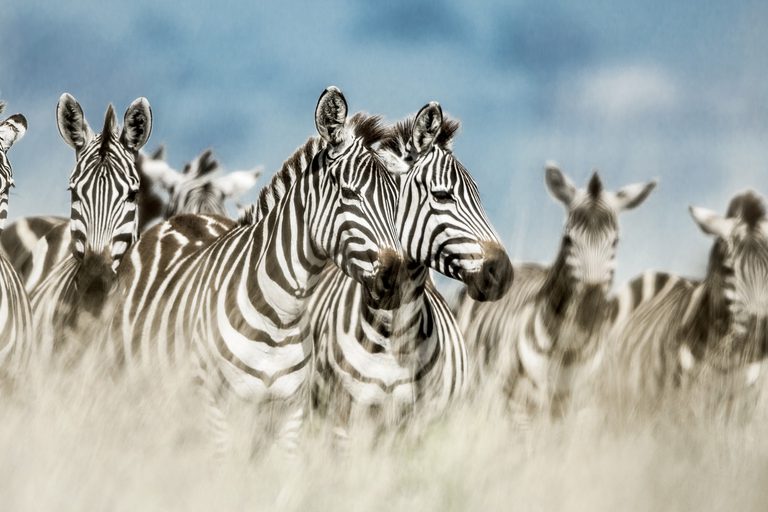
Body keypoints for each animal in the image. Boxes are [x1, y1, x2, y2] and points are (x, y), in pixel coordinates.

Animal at [108, 86, 404, 454]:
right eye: (349, 194)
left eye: (395, 200)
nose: (395, 277)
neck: (280, 317)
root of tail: (183, 218)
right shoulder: (215, 407)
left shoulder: (290, 413)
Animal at [308, 101, 513, 439]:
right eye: (442, 195)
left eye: (478, 196)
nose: (503, 273)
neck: (396, 334)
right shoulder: (343, 422)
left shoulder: (419, 426)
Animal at [455, 164, 656, 416]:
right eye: (568, 239)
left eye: (615, 242)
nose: (589, 304)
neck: (569, 348)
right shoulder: (521, 406)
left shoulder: (584, 408)